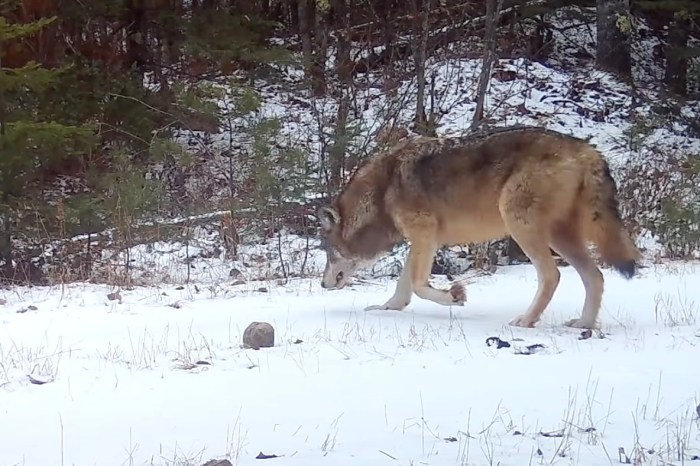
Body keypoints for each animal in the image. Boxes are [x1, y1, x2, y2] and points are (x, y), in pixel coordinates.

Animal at [317, 125, 640, 329]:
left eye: (329, 253)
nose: (321, 284)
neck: (382, 191)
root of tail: (589, 151)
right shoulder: (424, 239)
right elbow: (404, 286)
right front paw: (386, 308)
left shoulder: (424, 233)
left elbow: (420, 286)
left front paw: (454, 296)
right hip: (561, 237)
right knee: (595, 277)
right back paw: (583, 325)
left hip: (521, 225)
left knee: (552, 275)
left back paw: (526, 321)